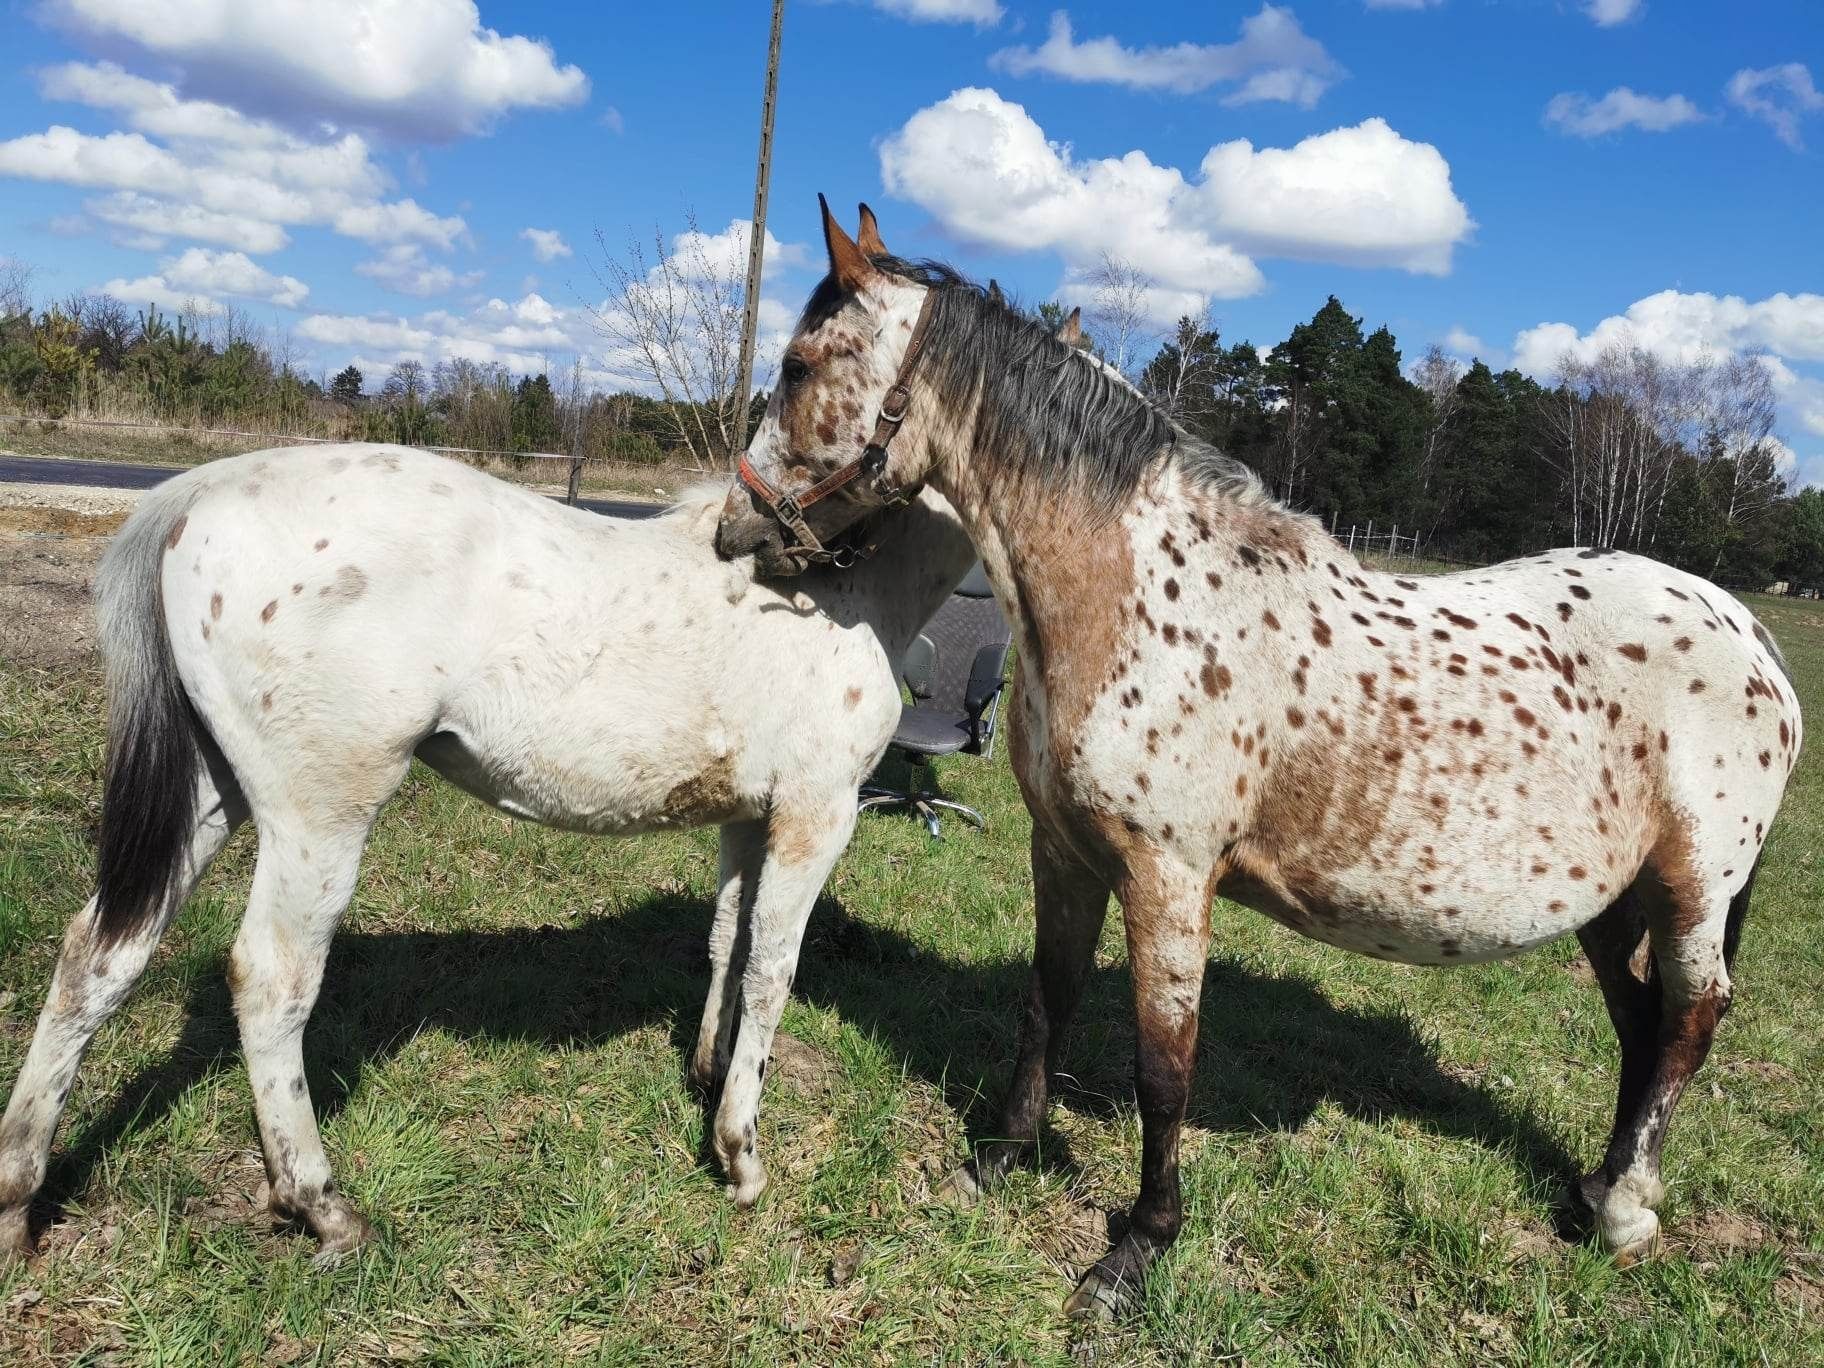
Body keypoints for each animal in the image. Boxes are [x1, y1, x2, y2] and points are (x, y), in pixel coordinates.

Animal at [0, 445, 984, 1269]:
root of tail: (200, 490)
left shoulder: (748, 820)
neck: (839, 599)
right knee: (271, 982)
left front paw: (707, 1074)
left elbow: (726, 943)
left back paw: (18, 1197)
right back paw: (321, 1206)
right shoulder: (816, 816)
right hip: (318, 814)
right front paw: (740, 1153)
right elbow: (773, 970)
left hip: (213, 792)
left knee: (101, 955)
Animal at [715, 200, 1809, 1320]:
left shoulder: (1167, 877)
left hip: (1691, 890)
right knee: (1641, 1023)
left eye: (800, 365)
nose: (735, 529)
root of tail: (1748, 631)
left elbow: (1163, 1069)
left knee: (1690, 1019)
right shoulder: (1062, 854)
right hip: (1613, 902)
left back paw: (1628, 1215)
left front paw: (1136, 1251)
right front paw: (997, 1163)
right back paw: (1596, 1191)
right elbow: (1045, 1006)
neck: (1139, 598)